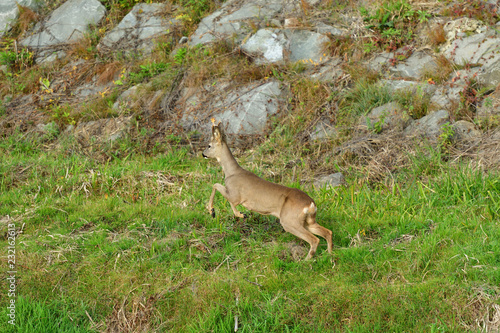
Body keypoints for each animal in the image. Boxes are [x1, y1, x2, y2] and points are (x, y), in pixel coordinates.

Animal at [203, 122, 332, 260]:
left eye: (209, 145)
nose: (203, 154)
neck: (231, 173)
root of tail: (311, 205)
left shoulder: (235, 195)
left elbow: (217, 186)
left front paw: (215, 211)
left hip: (289, 221)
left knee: (314, 239)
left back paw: (305, 261)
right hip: (308, 221)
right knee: (328, 232)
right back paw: (330, 255)